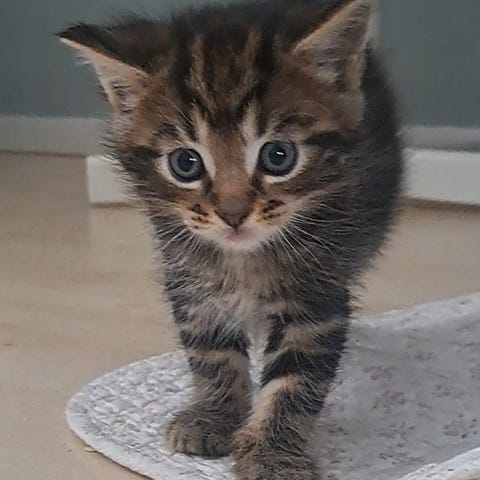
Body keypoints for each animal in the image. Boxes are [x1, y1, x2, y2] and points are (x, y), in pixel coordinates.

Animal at [60, 0, 403, 478]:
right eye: (185, 164)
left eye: (279, 156)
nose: (233, 213)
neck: (245, 260)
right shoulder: (189, 281)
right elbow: (212, 354)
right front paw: (215, 417)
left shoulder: (317, 294)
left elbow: (294, 380)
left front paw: (273, 453)